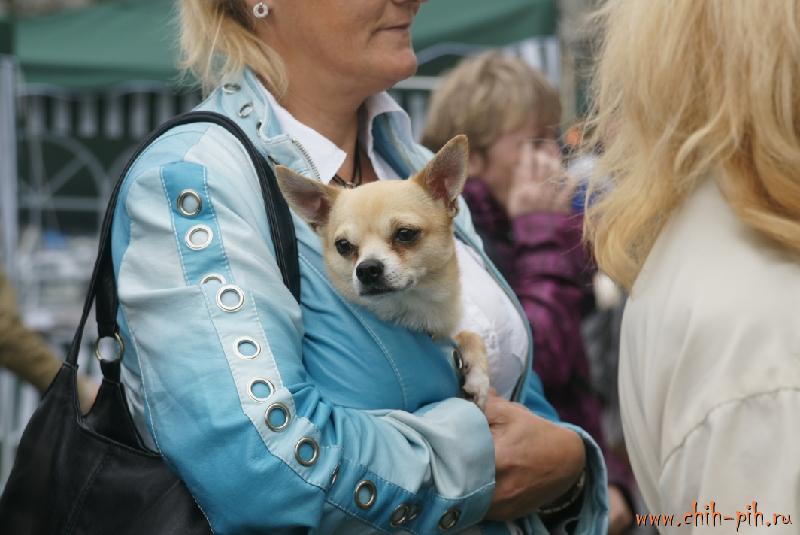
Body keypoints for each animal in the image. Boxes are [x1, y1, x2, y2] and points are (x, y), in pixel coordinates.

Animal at [275, 135, 490, 408]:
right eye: (343, 246)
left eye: (405, 234)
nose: (367, 269)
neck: (415, 309)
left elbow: (471, 335)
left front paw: (479, 377)